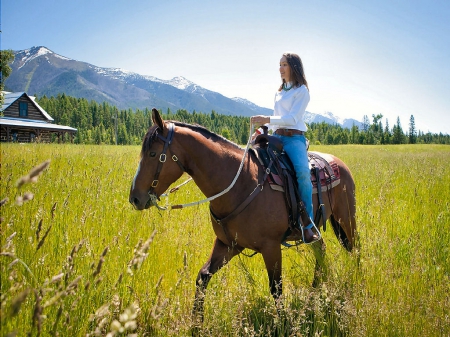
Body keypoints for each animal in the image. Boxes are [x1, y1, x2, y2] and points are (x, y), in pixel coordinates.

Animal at [128, 109, 356, 322]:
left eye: (153, 154)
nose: (135, 198)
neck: (241, 183)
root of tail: (339, 163)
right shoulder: (228, 244)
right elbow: (202, 276)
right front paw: (196, 323)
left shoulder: (271, 247)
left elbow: (276, 289)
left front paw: (283, 323)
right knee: (321, 249)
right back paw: (314, 293)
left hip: (346, 219)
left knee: (354, 250)